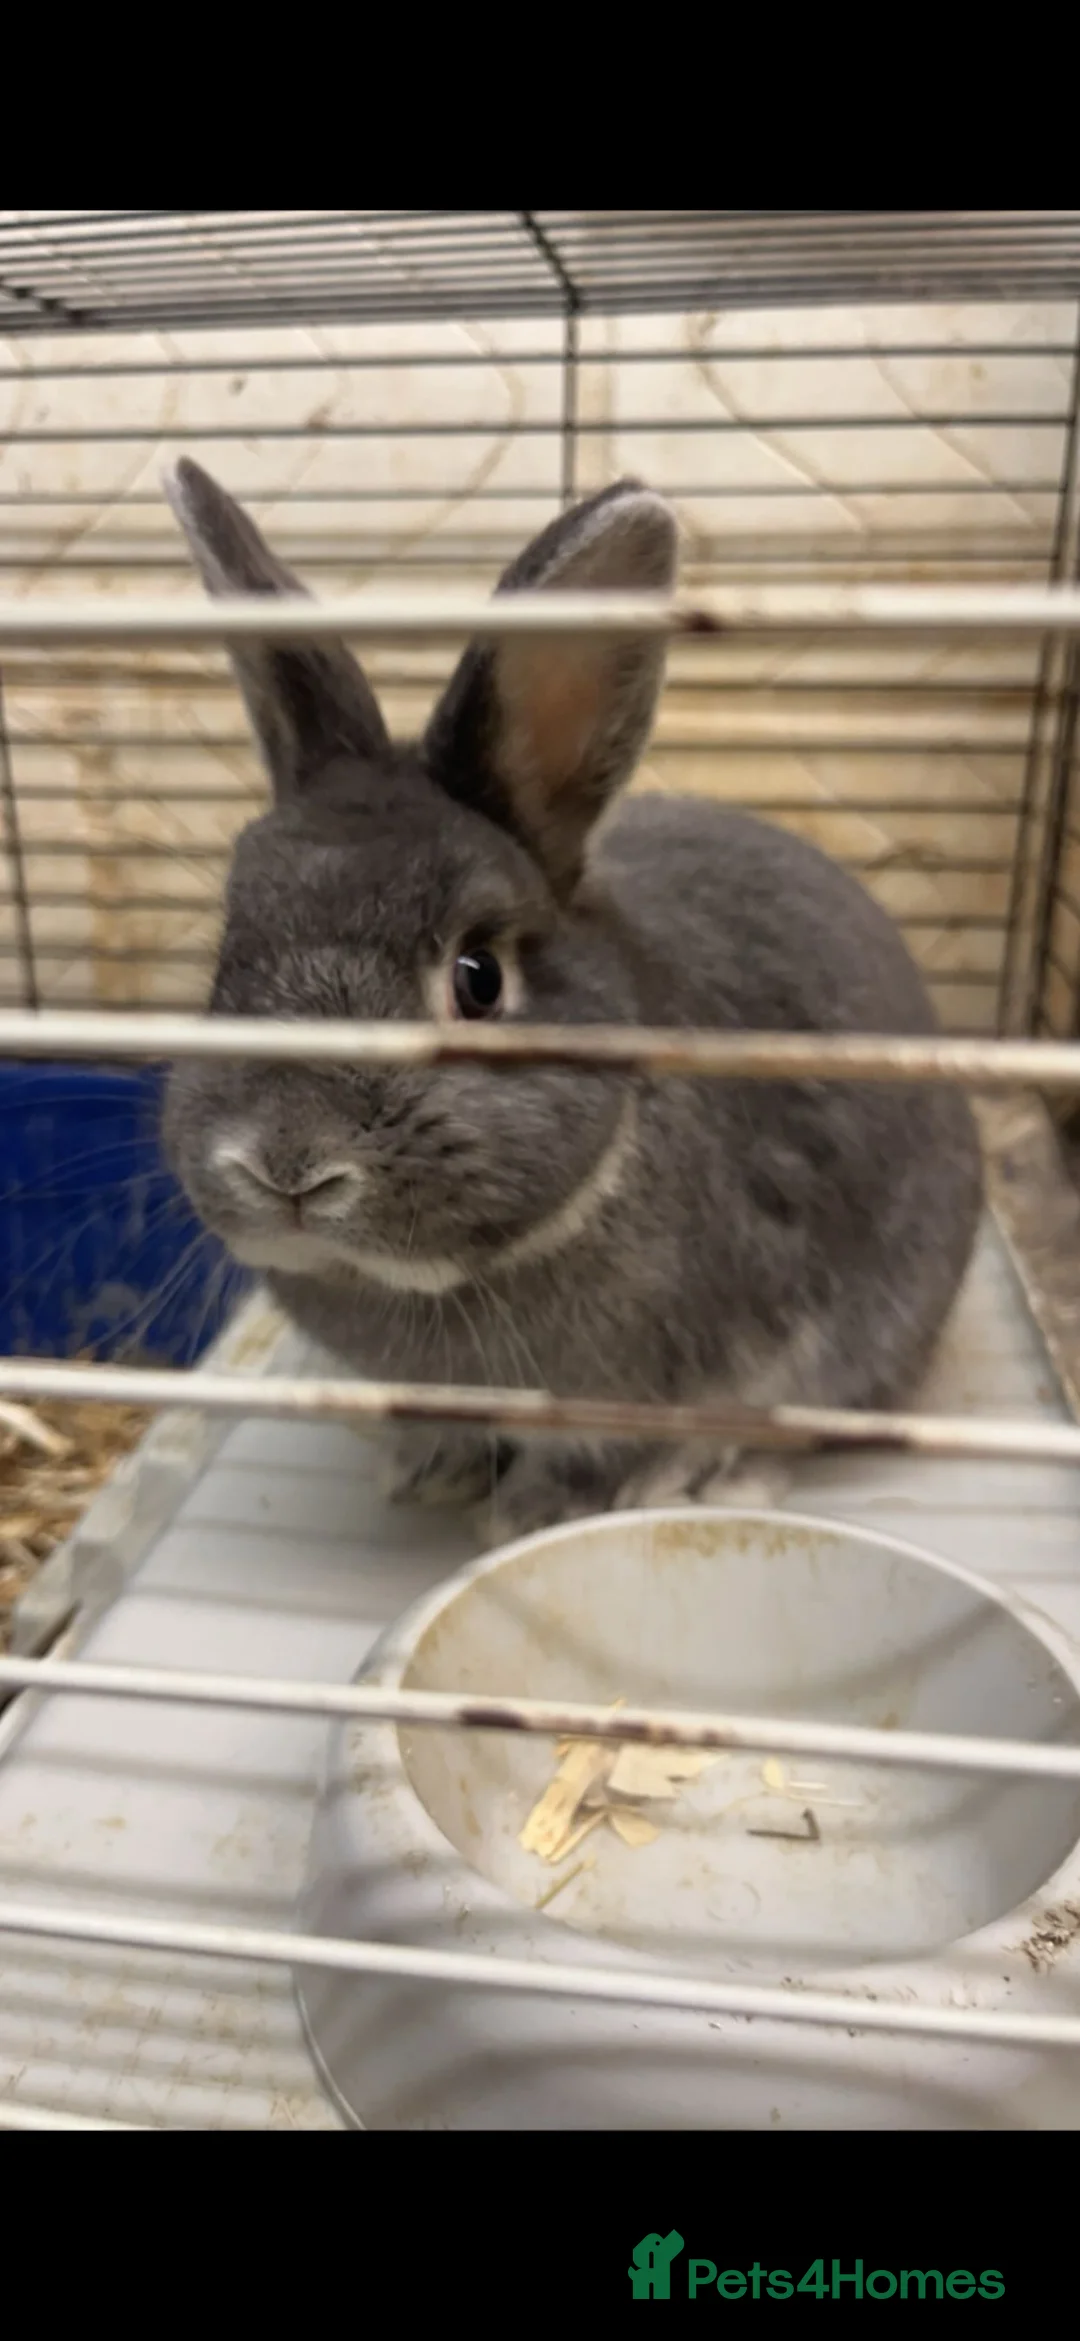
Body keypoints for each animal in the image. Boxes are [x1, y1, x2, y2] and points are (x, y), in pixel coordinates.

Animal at [161, 457, 983, 1545]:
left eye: (479, 977)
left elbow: (607, 1448)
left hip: (885, 1319)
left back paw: (703, 1479)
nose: (287, 1166)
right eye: (230, 952)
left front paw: (531, 1512)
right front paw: (430, 1470)